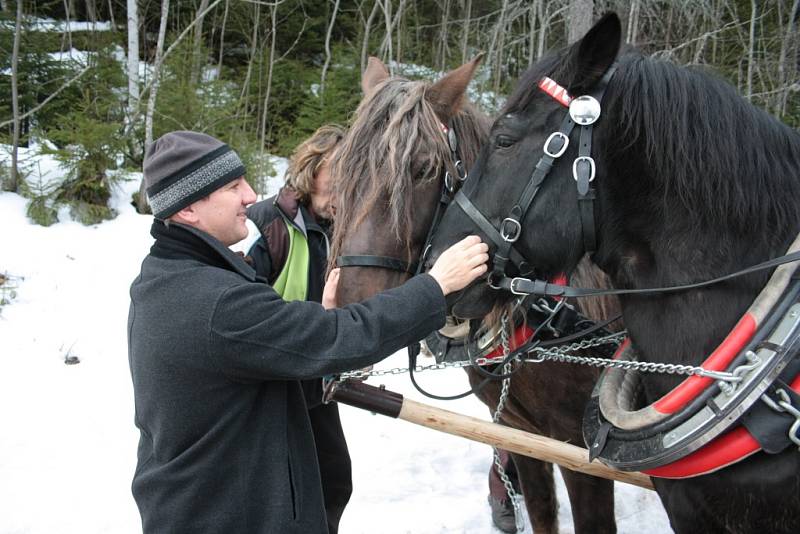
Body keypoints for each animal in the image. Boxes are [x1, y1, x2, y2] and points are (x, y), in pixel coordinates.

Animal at [328, 56, 620, 532]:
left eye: (424, 170)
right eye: (341, 171)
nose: (352, 302)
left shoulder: (581, 451)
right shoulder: (520, 434)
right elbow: (541, 511)